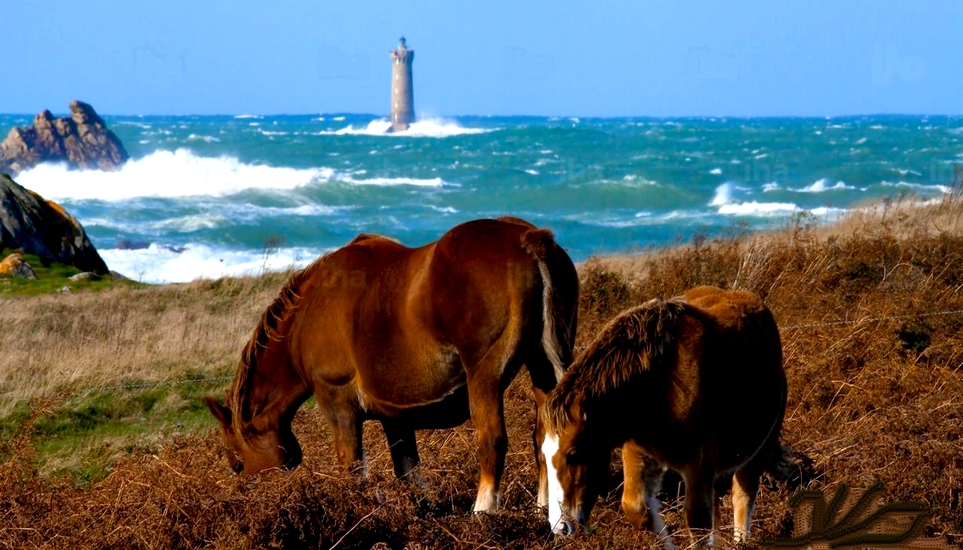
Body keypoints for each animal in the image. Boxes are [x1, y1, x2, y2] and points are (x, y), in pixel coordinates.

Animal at [206, 218, 576, 516]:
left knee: (492, 440)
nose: (250, 499)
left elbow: (353, 466)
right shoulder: (395, 416)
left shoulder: (339, 405)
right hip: (543, 367)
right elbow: (408, 470)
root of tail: (527, 238)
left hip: (484, 378)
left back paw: (482, 512)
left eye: (237, 463)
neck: (308, 310)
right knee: (546, 435)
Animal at [540, 286, 788, 548]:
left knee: (743, 495)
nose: (560, 527)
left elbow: (697, 521)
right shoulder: (637, 452)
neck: (657, 384)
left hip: (761, 449)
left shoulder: (698, 464)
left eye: (573, 454)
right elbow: (637, 508)